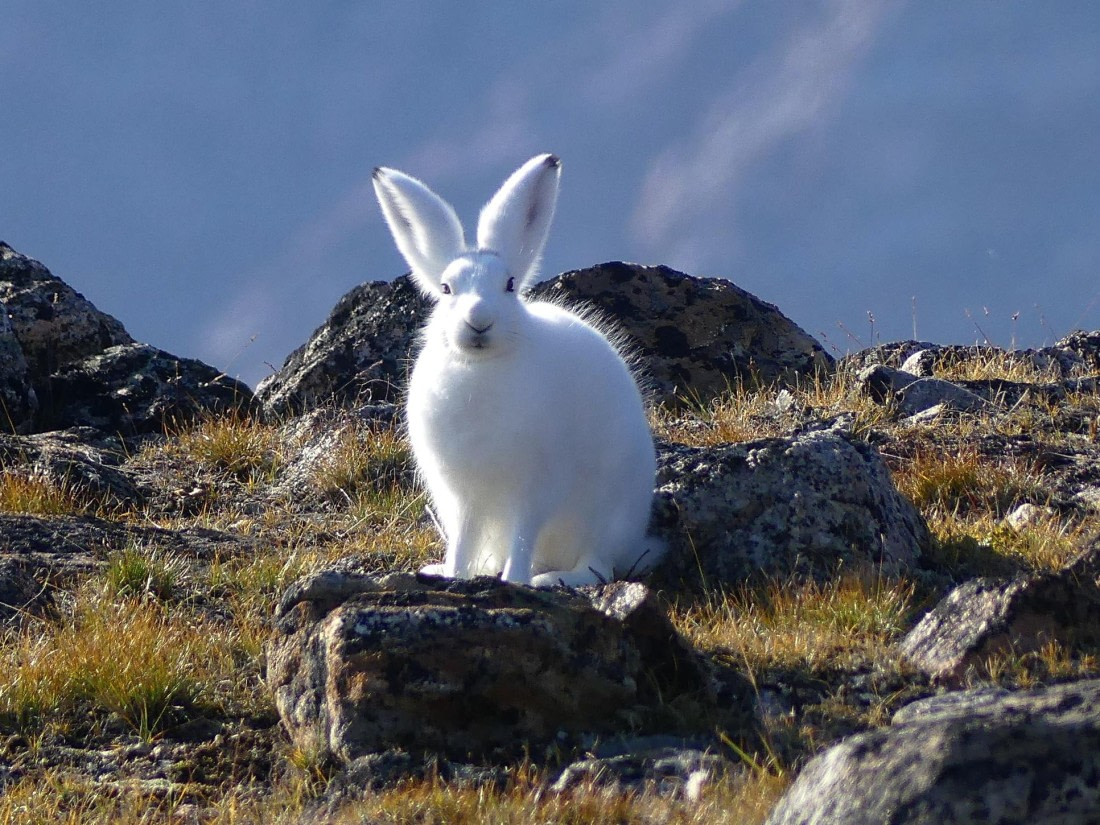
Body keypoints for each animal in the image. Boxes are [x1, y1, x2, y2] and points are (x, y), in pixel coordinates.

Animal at [372, 153, 662, 587]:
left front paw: (514, 580)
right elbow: (463, 538)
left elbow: (524, 534)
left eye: (509, 284)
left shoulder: (535, 487)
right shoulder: (463, 495)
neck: (480, 368)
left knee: (598, 567)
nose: (479, 320)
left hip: (604, 516)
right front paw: (453, 574)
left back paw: (550, 579)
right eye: (445, 289)